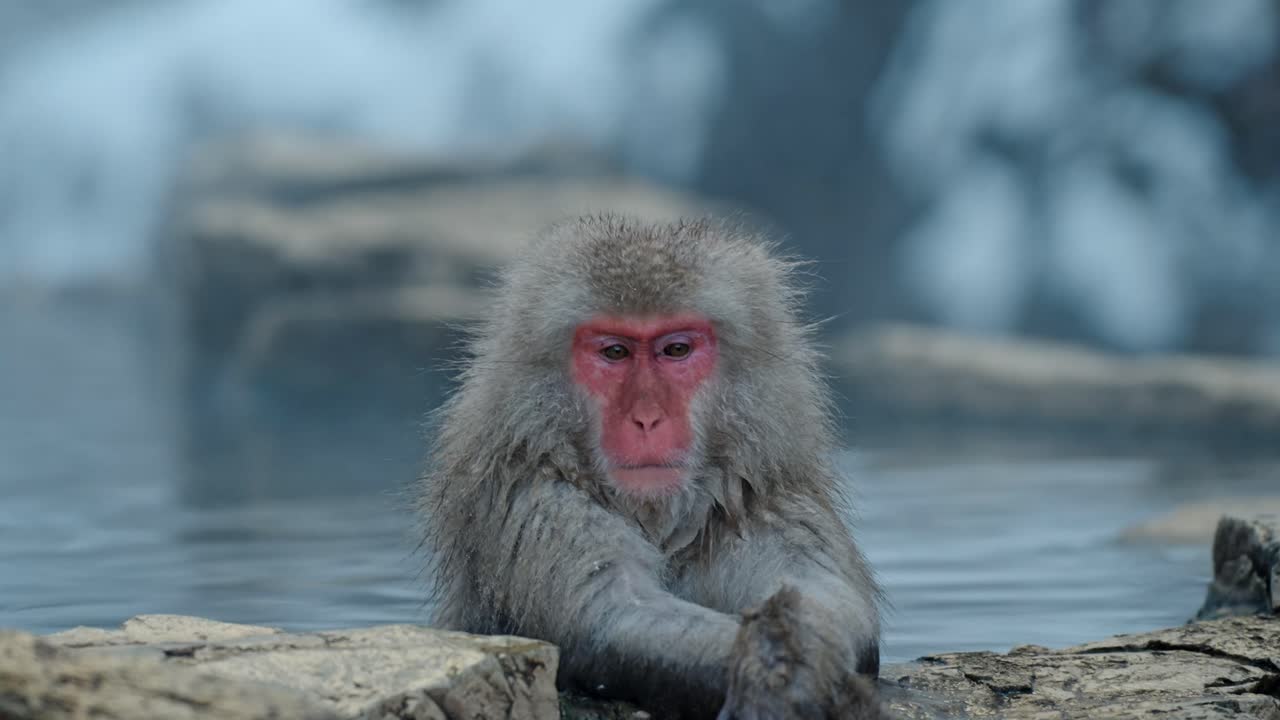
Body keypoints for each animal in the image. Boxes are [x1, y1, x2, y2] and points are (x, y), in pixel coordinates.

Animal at [418, 214, 884, 719]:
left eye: (675, 350)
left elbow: (825, 594)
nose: (646, 418)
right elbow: (607, 616)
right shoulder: (537, 498)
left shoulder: (759, 498)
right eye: (615, 353)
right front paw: (774, 663)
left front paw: (795, 652)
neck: (660, 517)